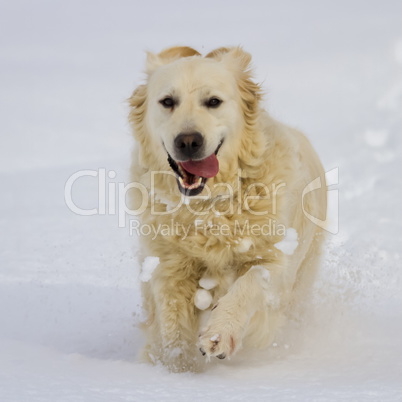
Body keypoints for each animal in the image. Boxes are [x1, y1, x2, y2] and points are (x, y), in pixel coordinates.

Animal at [129, 45, 326, 372]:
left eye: (213, 102)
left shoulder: (277, 264)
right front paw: (178, 371)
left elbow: (251, 281)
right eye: (167, 102)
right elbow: (173, 330)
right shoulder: (169, 270)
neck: (209, 206)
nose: (188, 141)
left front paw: (220, 332)